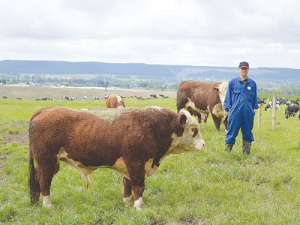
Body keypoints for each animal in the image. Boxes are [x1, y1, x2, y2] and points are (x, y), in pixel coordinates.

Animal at [28, 106, 205, 210]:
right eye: (194, 129)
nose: (203, 144)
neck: (152, 126)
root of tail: (44, 110)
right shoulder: (136, 163)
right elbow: (138, 185)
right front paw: (139, 206)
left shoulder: (128, 166)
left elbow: (127, 184)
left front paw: (127, 203)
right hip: (47, 161)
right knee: (44, 181)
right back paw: (47, 205)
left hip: (50, 163)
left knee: (37, 179)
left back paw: (36, 202)